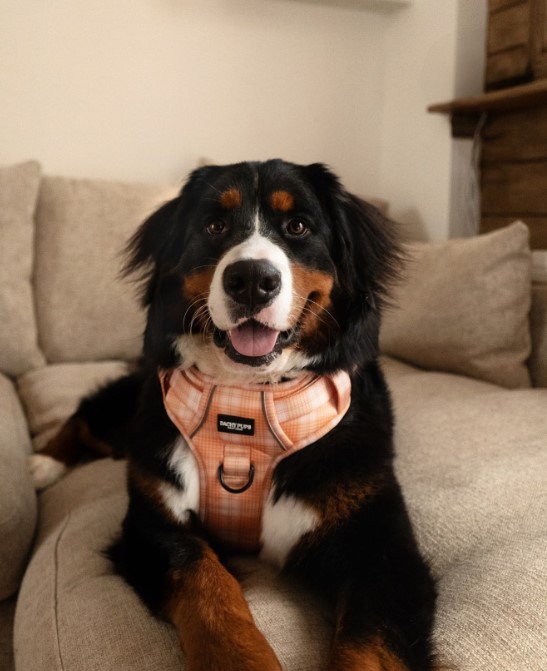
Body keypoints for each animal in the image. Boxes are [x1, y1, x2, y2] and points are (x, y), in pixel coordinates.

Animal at [33, 161, 436, 671]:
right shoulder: (153, 522)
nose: (251, 279)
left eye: (297, 226)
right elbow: (206, 584)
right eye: (214, 226)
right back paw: (41, 463)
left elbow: (367, 649)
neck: (246, 402)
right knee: (88, 414)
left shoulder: (382, 549)